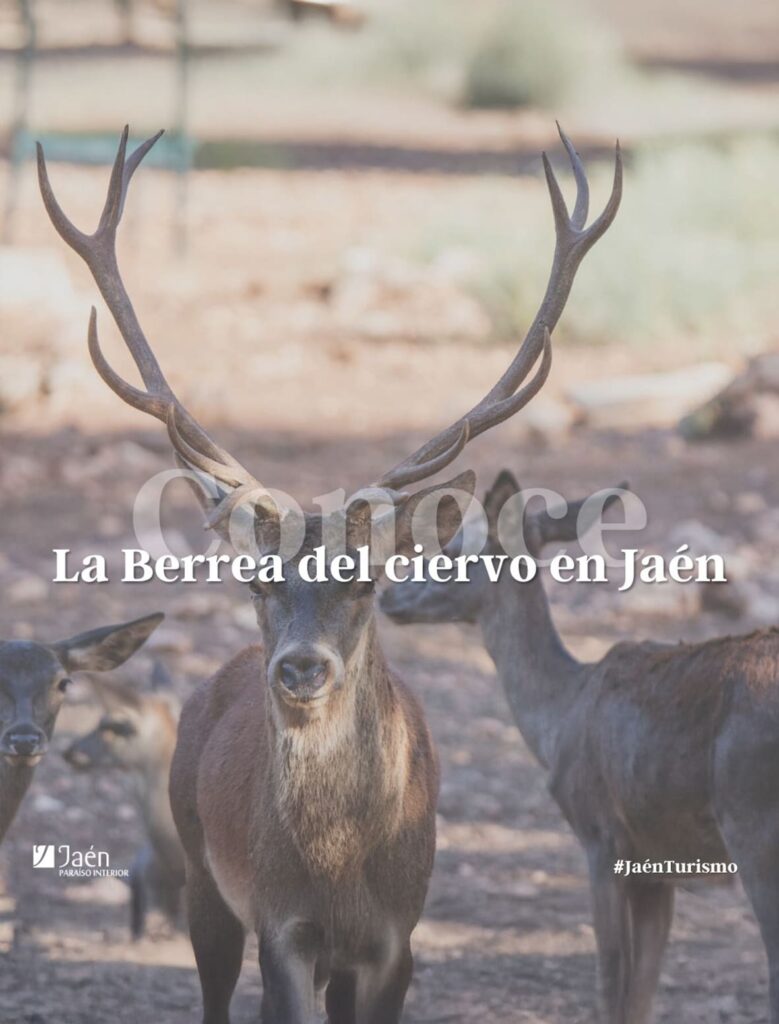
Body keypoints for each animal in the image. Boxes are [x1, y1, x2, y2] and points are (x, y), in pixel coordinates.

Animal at [381, 468, 779, 1024]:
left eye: (454, 551)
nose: (388, 596)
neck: (559, 715)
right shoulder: (658, 863)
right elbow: (642, 991)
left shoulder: (600, 835)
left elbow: (611, 980)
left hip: (753, 821)